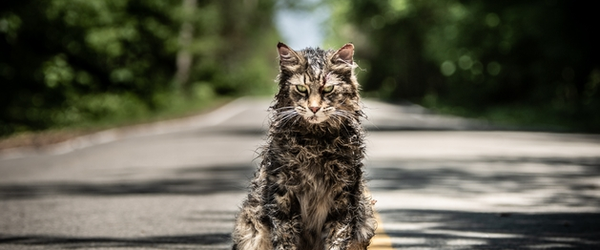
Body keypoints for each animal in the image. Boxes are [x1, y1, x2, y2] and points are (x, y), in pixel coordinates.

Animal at [231, 43, 376, 250]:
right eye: (301, 88)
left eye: (328, 89)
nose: (314, 108)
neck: (315, 143)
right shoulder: (282, 193)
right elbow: (285, 237)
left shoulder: (343, 195)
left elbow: (338, 236)